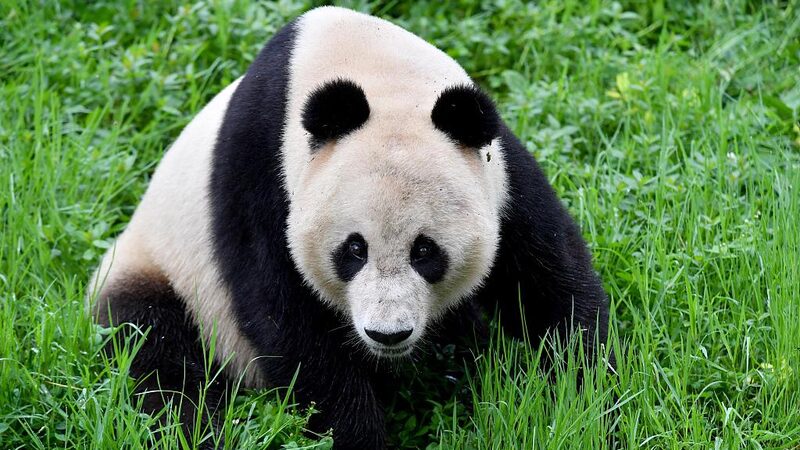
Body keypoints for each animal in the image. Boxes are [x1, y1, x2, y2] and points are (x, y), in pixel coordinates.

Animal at [88, 6, 610, 449]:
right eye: (354, 250)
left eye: (426, 251)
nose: (388, 334)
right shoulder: (261, 174)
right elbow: (289, 320)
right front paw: (359, 435)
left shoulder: (498, 173)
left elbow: (549, 277)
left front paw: (581, 399)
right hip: (164, 272)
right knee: (154, 348)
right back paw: (201, 427)